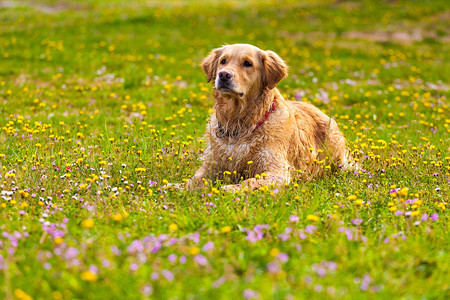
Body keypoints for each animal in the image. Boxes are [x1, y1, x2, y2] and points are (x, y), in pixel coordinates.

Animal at [186, 43, 356, 191]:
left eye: (247, 63)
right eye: (223, 61)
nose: (223, 75)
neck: (238, 123)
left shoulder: (277, 170)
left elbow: (249, 182)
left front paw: (226, 189)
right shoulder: (211, 166)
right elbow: (191, 181)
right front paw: (181, 190)